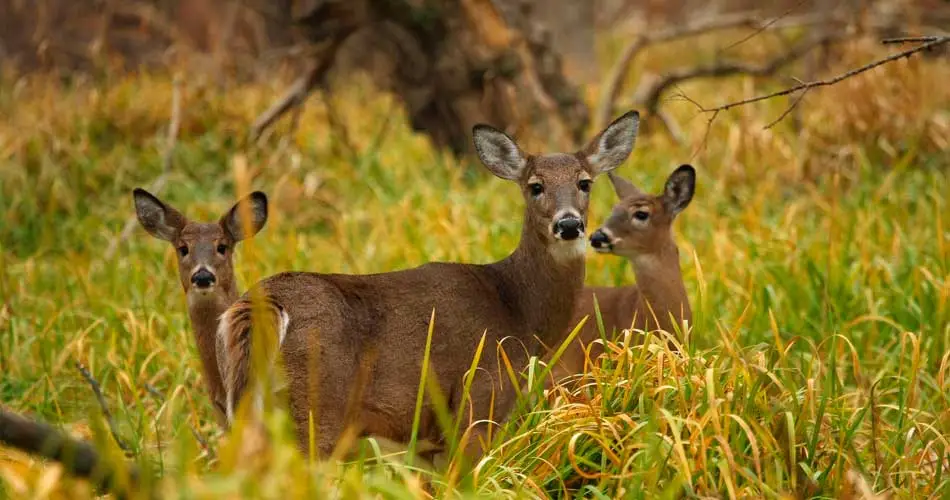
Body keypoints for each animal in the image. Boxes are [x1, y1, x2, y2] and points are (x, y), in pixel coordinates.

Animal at [215, 111, 641, 460]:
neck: (518, 309)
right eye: (535, 186)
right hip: (317, 406)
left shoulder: (427, 443)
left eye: (585, 183)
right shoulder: (480, 401)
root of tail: (263, 303)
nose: (569, 224)